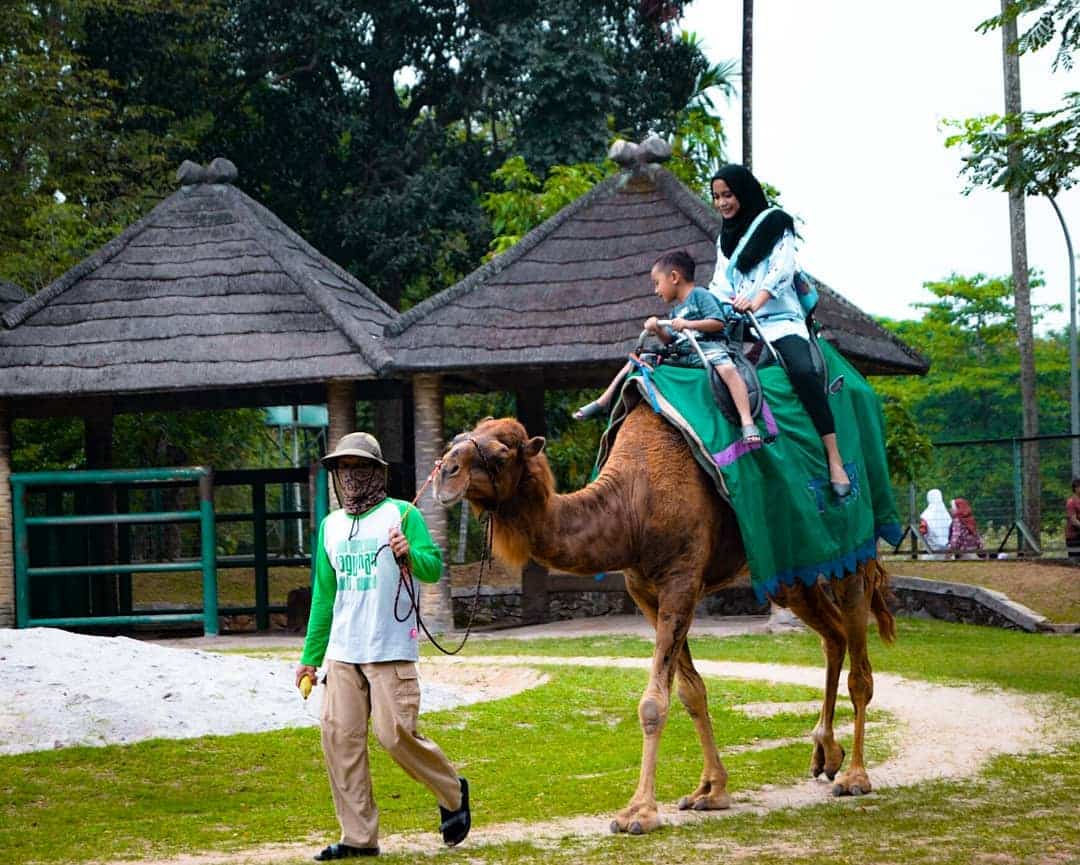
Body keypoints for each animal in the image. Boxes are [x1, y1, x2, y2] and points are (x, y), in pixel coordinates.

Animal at [434, 408, 898, 833]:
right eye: (457, 439)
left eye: (500, 454)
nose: (443, 474)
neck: (631, 506)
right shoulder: (646, 591)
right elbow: (692, 691)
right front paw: (711, 790)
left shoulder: (681, 580)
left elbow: (654, 703)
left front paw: (639, 812)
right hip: (788, 569)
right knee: (833, 634)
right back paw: (826, 753)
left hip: (853, 549)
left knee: (859, 662)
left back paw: (855, 776)